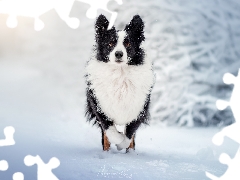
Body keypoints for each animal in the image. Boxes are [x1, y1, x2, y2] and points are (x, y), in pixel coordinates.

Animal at [85, 14, 155, 152]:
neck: (120, 73)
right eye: (110, 43)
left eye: (127, 43)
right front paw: (117, 140)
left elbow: (129, 134)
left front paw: (123, 144)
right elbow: (111, 131)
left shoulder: (139, 109)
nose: (118, 53)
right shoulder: (99, 106)